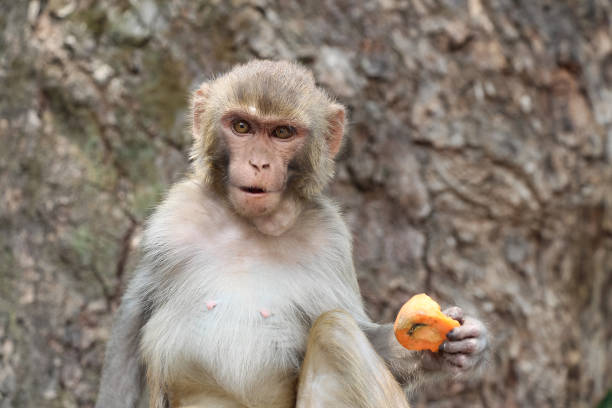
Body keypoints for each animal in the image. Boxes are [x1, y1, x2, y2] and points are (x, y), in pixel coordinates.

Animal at [97, 60, 488, 408]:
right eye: (242, 126)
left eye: (282, 133)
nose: (258, 163)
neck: (251, 226)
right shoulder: (174, 219)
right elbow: (133, 318)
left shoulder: (330, 238)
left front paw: (459, 345)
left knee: (335, 331)